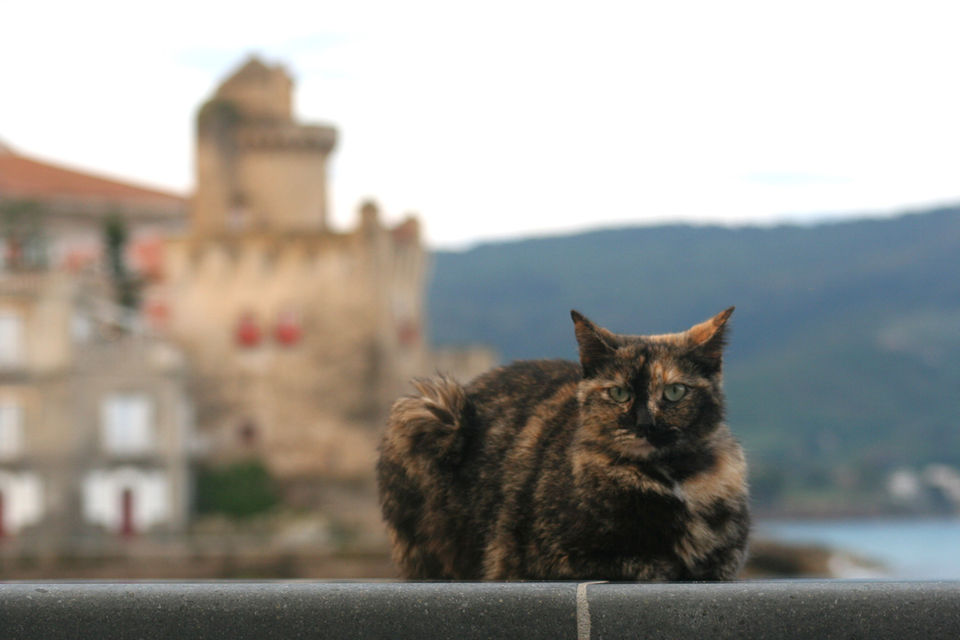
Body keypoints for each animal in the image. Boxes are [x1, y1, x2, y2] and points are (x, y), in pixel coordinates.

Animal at [376, 308, 749, 580]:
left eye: (674, 392)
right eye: (619, 393)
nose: (645, 423)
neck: (674, 478)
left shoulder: (728, 558)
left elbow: (712, 562)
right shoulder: (547, 557)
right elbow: (649, 563)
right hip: (427, 409)